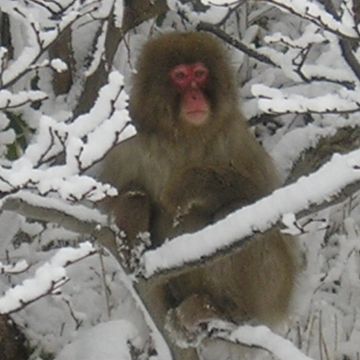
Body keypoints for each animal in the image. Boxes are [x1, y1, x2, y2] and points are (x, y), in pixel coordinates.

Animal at [98, 31, 298, 360]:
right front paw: (132, 217)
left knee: (237, 214)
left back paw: (221, 311)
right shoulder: (129, 141)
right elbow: (108, 197)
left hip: (276, 290)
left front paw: (190, 184)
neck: (184, 136)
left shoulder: (235, 138)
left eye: (200, 73)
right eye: (180, 76)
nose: (195, 95)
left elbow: (271, 205)